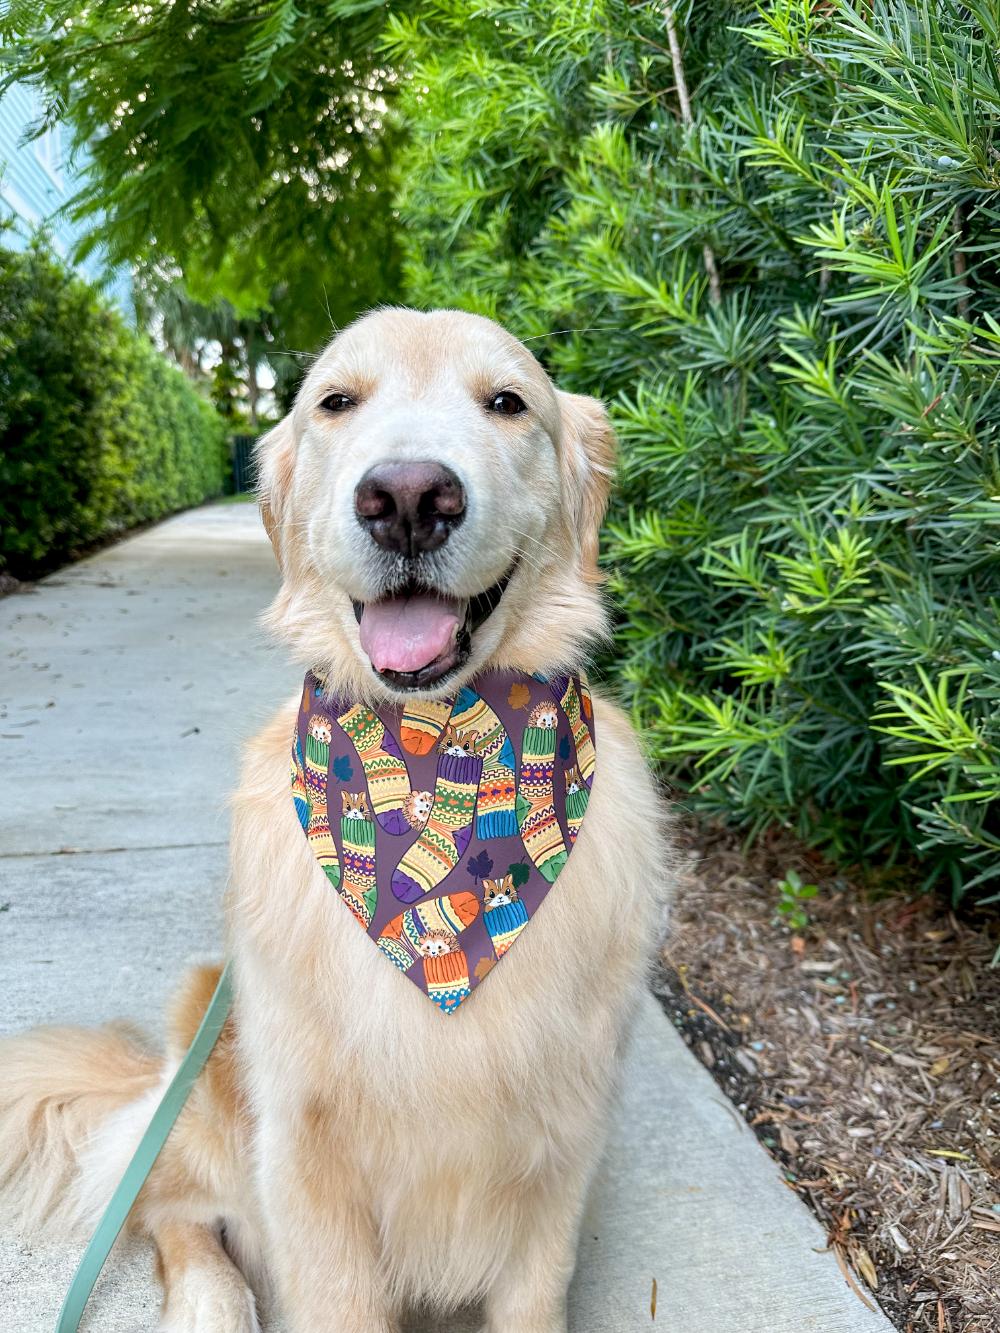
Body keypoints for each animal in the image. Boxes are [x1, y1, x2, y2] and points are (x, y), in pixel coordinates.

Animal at [3, 305, 674, 1333]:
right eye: (336, 401)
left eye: (508, 401)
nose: (408, 496)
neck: (440, 750)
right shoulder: (306, 1148)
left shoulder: (563, 1142)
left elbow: (531, 1292)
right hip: (207, 1052)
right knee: (168, 1206)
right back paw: (212, 1302)